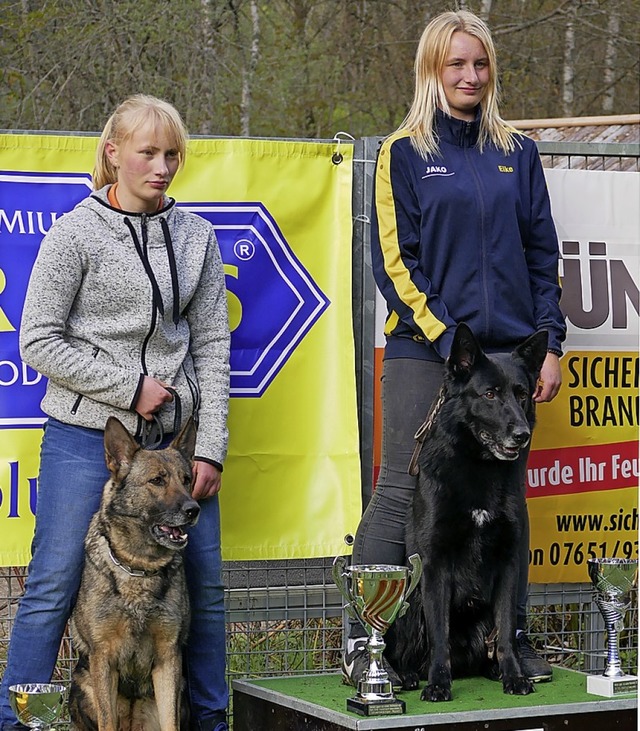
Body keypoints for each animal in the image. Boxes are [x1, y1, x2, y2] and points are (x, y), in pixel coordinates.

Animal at [388, 324, 548, 700]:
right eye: (489, 394)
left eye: (522, 394)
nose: (522, 435)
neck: (479, 467)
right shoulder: (434, 564)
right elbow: (439, 635)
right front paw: (438, 683)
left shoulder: (507, 563)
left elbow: (505, 630)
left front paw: (513, 676)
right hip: (409, 601)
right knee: (406, 650)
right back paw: (407, 675)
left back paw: (492, 668)